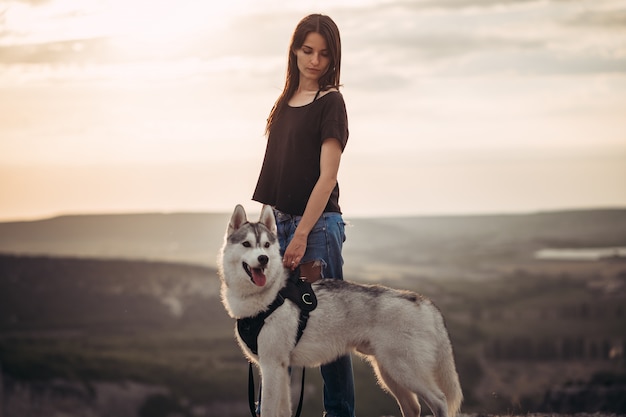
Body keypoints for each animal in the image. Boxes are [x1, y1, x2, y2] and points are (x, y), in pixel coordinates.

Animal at [217, 205, 460, 416]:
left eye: (266, 245)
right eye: (247, 244)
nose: (264, 259)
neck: (269, 296)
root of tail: (423, 302)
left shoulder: (271, 366)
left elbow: (267, 410)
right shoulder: (281, 369)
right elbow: (283, 411)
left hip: (404, 369)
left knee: (439, 400)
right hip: (389, 373)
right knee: (413, 407)